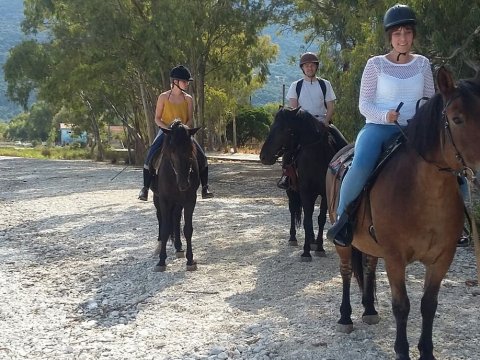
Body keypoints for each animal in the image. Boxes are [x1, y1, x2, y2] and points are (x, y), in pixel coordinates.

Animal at [153, 119, 200, 272]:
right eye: (171, 151)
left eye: (190, 150)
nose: (184, 184)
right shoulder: (164, 200)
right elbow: (164, 229)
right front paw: (161, 261)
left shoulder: (190, 200)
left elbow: (188, 229)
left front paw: (190, 260)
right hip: (157, 199)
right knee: (161, 219)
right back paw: (159, 247)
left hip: (178, 202)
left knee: (176, 217)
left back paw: (179, 247)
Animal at [260, 107, 346, 262]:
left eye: (285, 129)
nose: (263, 156)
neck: (317, 156)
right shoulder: (305, 191)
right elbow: (306, 220)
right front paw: (306, 252)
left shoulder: (324, 194)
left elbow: (320, 219)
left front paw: (319, 247)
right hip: (291, 191)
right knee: (293, 210)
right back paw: (293, 238)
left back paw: (312, 241)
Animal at [326, 66, 480, 358]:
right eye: (456, 119)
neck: (423, 193)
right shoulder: (395, 258)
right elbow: (402, 305)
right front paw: (401, 350)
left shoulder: (442, 258)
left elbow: (428, 305)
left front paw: (427, 351)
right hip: (344, 241)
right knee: (346, 272)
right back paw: (344, 317)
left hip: (373, 245)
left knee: (369, 267)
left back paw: (370, 310)